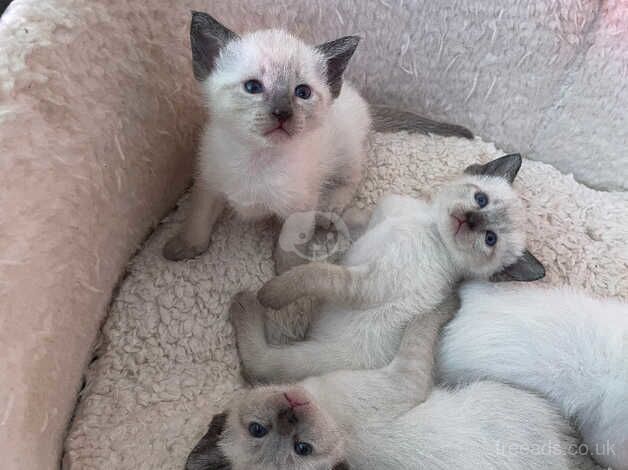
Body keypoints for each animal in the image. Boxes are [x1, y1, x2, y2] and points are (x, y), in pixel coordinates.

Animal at [163, 11, 472, 274]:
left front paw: (286, 273)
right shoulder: (209, 183)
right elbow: (198, 219)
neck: (257, 156)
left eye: (302, 92)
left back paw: (332, 205)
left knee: (353, 177)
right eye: (253, 87)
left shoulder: (299, 206)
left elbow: (289, 241)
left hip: (347, 152)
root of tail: (354, 94)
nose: (282, 113)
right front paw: (185, 247)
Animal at [184, 292, 592, 468]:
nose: (290, 414)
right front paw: (448, 299)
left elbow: (259, 363)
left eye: (257, 429)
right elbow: (423, 322)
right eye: (303, 449)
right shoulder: (403, 378)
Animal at [233, 152, 544, 384]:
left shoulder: (365, 285)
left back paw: (246, 302)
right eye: (481, 200)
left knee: (261, 365)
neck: (429, 226)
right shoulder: (372, 222)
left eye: (490, 239)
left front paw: (273, 291)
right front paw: (318, 224)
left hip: (310, 357)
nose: (470, 220)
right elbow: (345, 217)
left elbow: (314, 273)